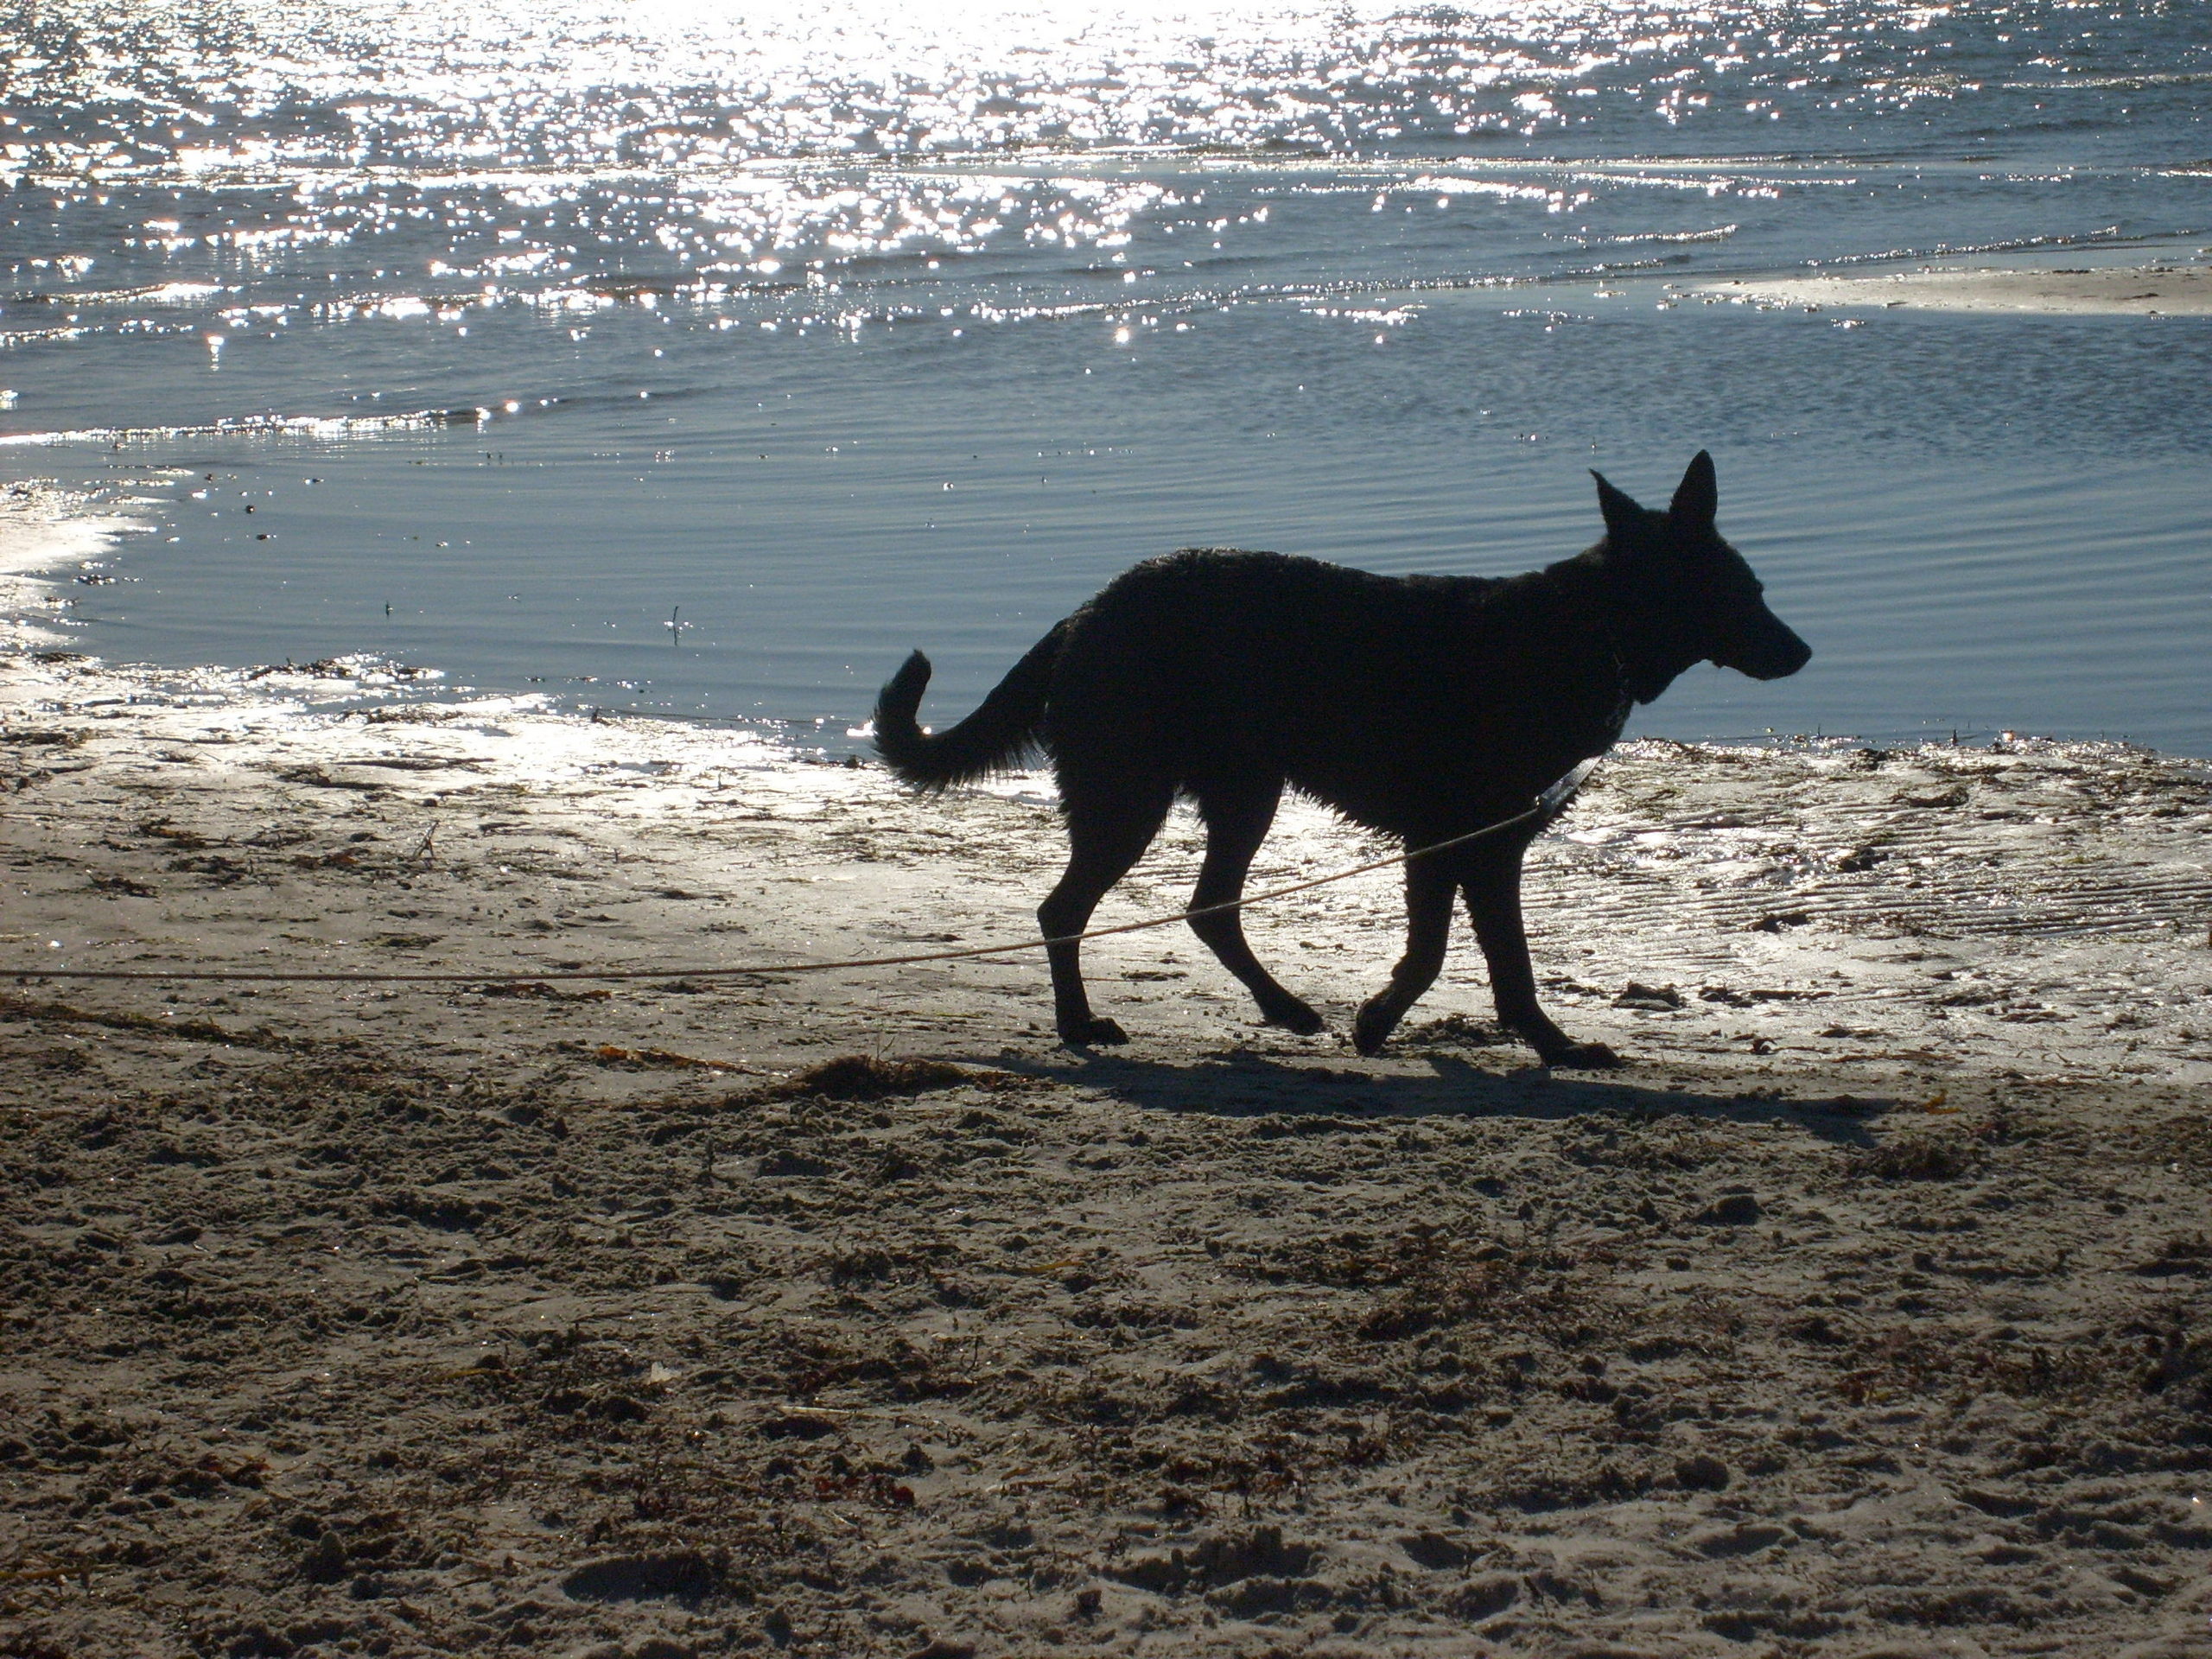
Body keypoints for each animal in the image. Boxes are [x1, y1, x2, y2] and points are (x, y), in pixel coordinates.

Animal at [871, 455, 1804, 1071]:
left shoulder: (1466, 847)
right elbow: (1478, 959)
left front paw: (1407, 1025)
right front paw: (1525, 1041)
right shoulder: (1464, 844)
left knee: (1208, 910)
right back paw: (1082, 1024)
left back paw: (1279, 1009)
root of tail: (1087, 612)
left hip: (1243, 793)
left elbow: (1464, 957)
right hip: (1136, 799)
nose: (1800, 652)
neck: (1592, 627)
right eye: (1745, 593)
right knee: (1065, 909)